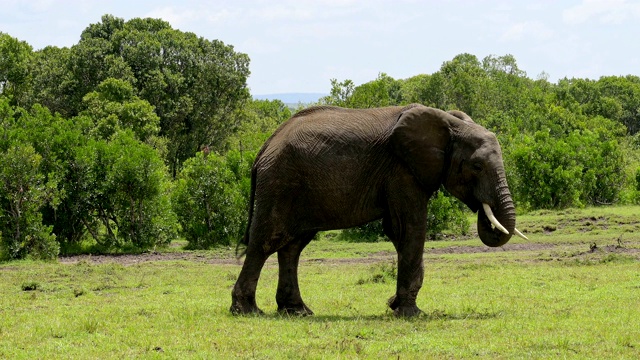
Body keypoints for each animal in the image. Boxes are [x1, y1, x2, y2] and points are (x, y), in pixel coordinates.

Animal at [232, 102, 528, 316]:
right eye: (477, 167)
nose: (485, 213)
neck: (449, 124)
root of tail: (263, 149)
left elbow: (397, 233)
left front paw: (395, 305)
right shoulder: (402, 171)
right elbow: (411, 228)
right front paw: (411, 313)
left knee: (292, 246)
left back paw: (297, 311)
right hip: (280, 182)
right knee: (265, 241)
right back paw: (248, 311)